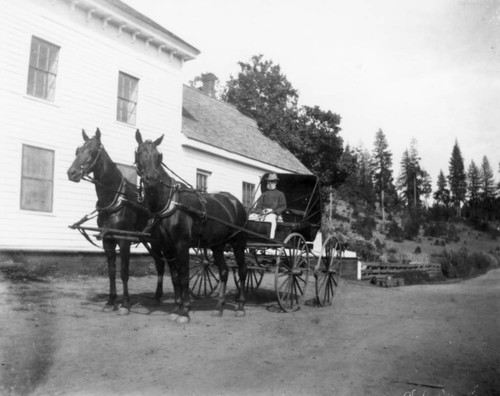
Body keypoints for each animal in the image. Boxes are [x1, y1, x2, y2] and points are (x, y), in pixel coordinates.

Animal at [67, 128, 165, 314]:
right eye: (78, 150)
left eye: (93, 151)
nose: (72, 173)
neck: (115, 199)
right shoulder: (108, 240)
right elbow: (111, 271)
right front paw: (110, 301)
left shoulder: (124, 240)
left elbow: (124, 272)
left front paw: (125, 304)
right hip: (149, 240)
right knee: (160, 263)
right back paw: (157, 296)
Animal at [135, 131, 248, 324]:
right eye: (140, 153)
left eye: (158, 156)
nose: (151, 178)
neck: (170, 203)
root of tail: (236, 202)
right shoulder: (167, 247)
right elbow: (175, 278)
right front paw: (176, 308)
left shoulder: (182, 245)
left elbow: (184, 277)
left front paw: (185, 311)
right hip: (217, 246)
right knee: (224, 271)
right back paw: (219, 306)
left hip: (238, 243)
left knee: (241, 271)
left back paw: (240, 306)